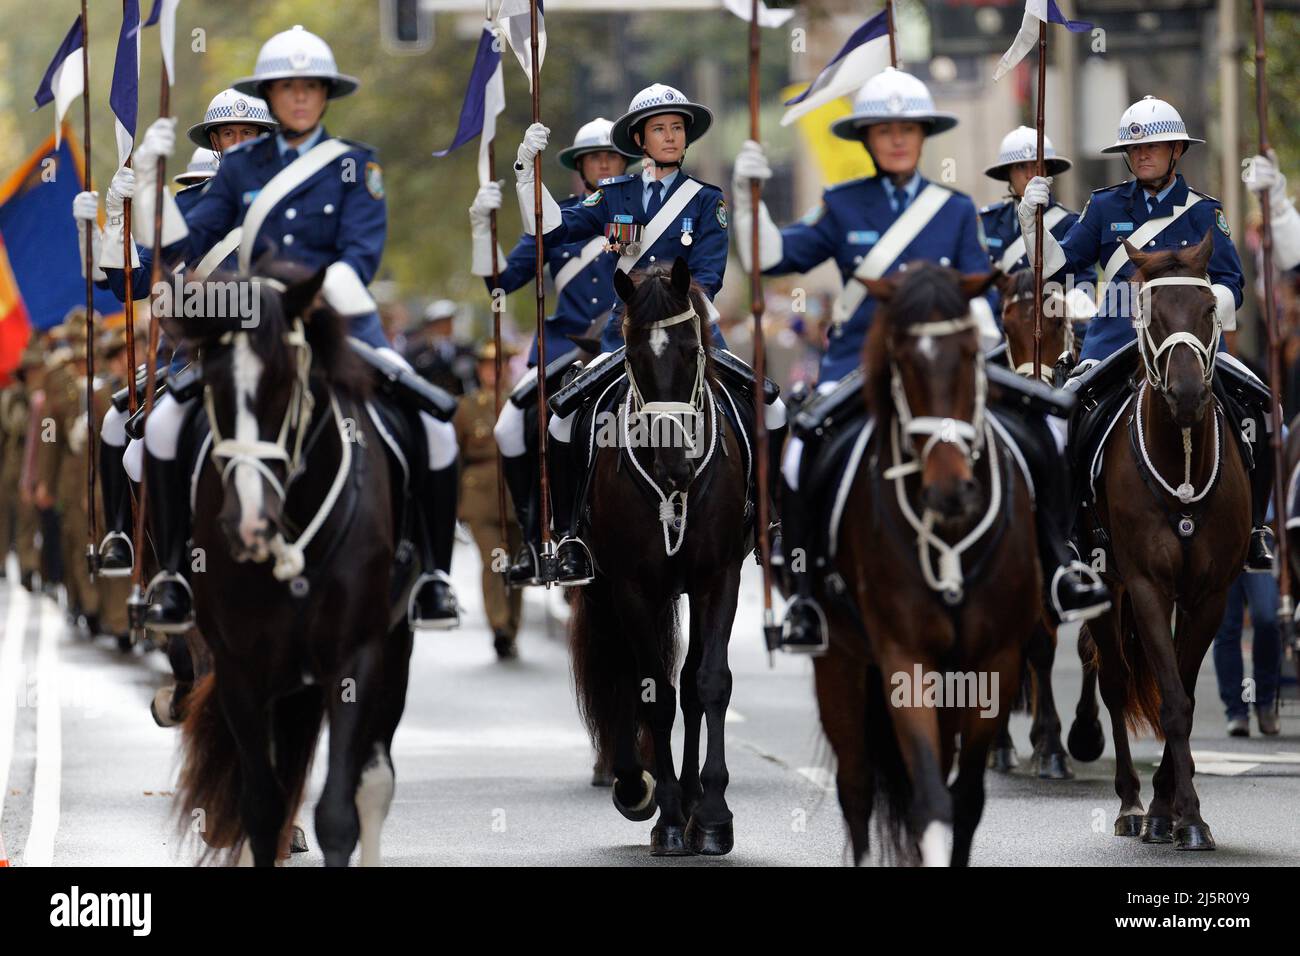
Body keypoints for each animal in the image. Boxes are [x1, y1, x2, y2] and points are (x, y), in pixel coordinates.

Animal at [169, 264, 410, 868]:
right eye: (210, 382)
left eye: (283, 381)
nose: (248, 523)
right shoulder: (241, 669)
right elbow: (259, 806)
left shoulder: (355, 657)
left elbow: (339, 816)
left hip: (395, 648)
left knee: (374, 783)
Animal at [572, 257, 754, 858]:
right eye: (631, 356)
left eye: (691, 349)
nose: (674, 464)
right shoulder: (630, 585)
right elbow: (652, 693)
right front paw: (666, 816)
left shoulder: (718, 578)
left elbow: (708, 682)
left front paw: (713, 816)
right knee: (625, 674)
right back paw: (637, 784)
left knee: (691, 685)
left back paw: (695, 799)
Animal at [816, 264, 1040, 868]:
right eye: (901, 360)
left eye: (968, 353)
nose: (949, 492)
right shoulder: (904, 657)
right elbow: (930, 800)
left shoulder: (995, 662)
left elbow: (964, 799)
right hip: (840, 664)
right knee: (856, 786)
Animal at [1066, 234, 1248, 853]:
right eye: (1147, 312)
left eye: (1209, 308)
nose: (1189, 394)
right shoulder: (1145, 586)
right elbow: (1168, 700)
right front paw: (1178, 813)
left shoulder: (1210, 595)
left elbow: (1185, 695)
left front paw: (1177, 813)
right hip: (1103, 583)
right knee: (1117, 683)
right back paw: (1128, 803)